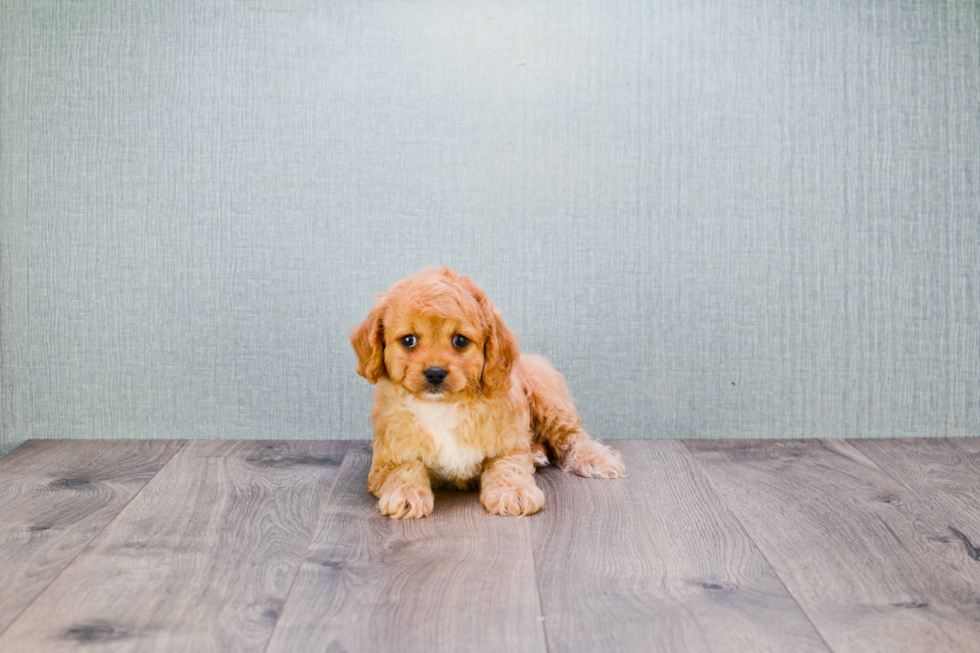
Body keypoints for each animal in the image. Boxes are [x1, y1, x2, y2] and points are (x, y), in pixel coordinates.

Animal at [354, 268, 628, 516]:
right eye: (408, 340)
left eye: (460, 340)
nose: (435, 373)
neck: (442, 406)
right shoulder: (388, 456)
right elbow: (403, 469)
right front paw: (405, 495)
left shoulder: (507, 443)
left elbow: (507, 466)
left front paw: (513, 492)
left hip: (546, 389)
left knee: (571, 437)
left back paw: (595, 459)